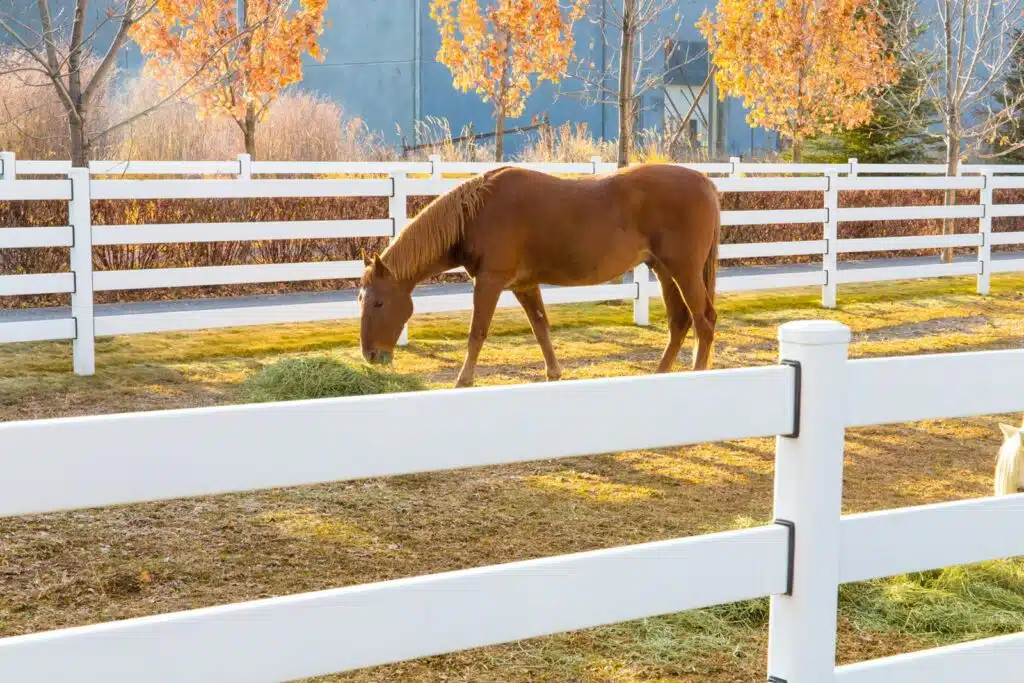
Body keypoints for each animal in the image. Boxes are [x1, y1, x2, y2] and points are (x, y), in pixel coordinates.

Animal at [357, 162, 721, 388]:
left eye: (378, 303)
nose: (370, 356)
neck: (478, 211)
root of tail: (705, 182)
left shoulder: (489, 282)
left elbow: (477, 332)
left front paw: (463, 379)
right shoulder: (524, 285)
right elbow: (541, 328)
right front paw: (553, 372)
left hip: (684, 271)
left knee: (704, 321)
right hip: (664, 270)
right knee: (679, 322)